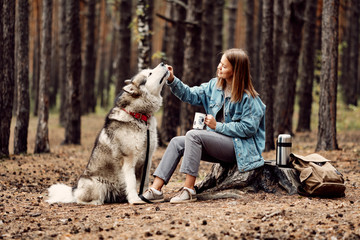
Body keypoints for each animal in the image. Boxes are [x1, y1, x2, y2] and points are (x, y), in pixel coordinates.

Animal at [46, 62, 170, 204]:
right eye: (149, 73)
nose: (163, 63)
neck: (140, 116)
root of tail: (75, 189)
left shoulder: (147, 159)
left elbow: (145, 182)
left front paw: (145, 196)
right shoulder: (128, 159)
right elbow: (132, 182)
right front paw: (135, 199)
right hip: (95, 184)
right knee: (80, 199)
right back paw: (95, 202)